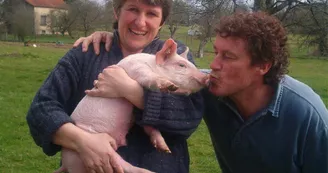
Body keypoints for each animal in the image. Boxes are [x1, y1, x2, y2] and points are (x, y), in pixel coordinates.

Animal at [53, 39, 208, 173]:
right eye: (181, 65)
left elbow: (148, 126)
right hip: (95, 150)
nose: (206, 77)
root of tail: (65, 164)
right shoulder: (137, 69)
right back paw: (149, 172)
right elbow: (148, 77)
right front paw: (169, 85)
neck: (153, 65)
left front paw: (164, 148)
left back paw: (161, 153)